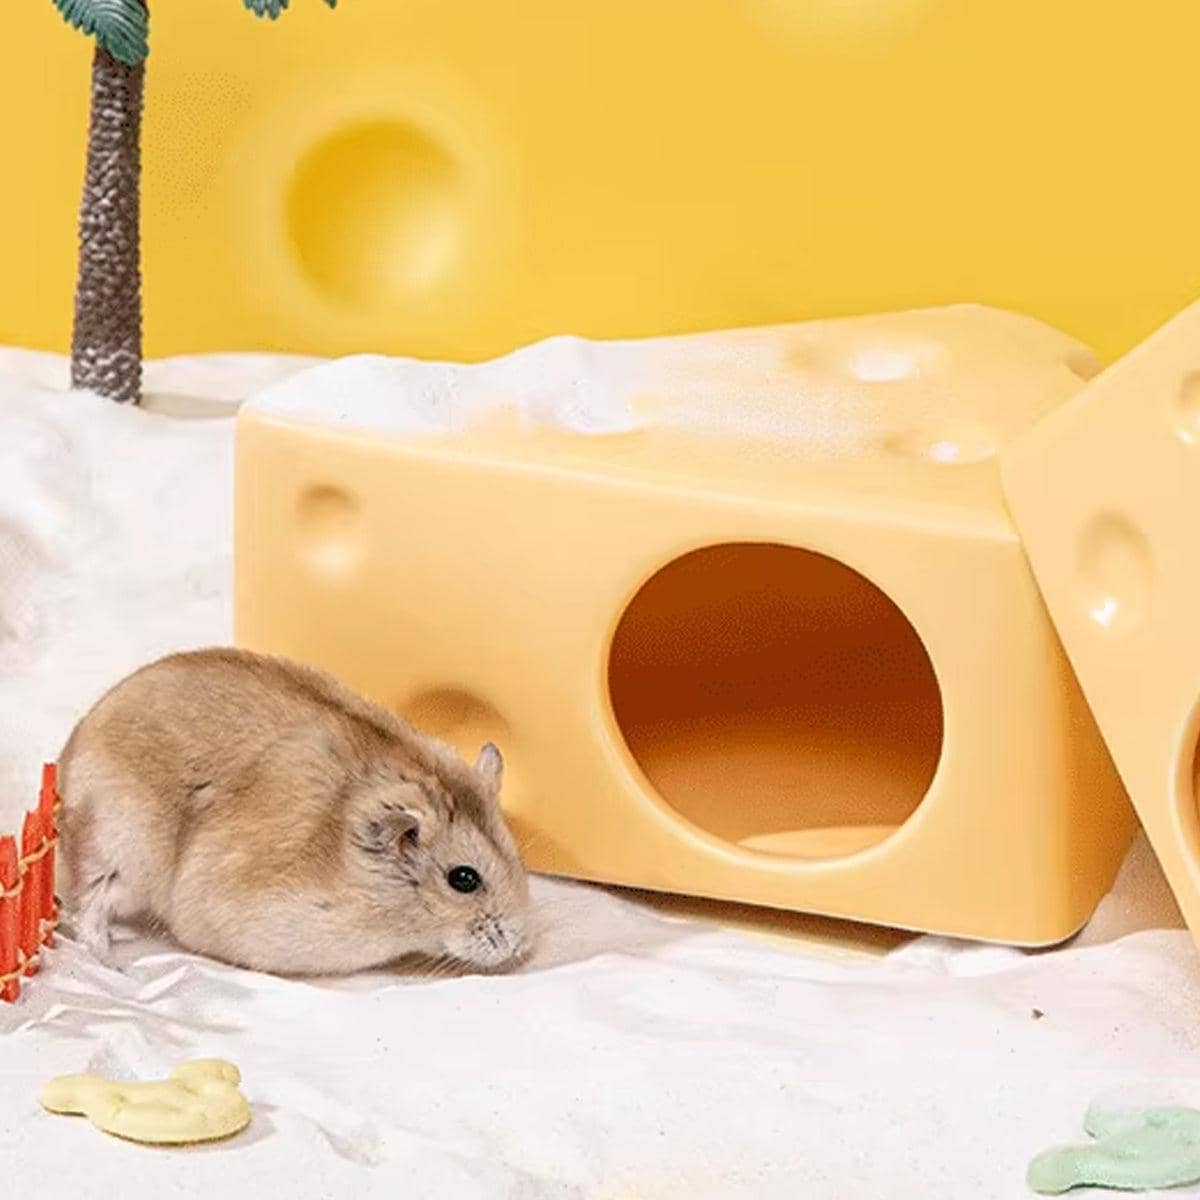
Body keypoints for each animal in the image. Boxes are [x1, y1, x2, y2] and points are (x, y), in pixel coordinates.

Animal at [57, 647, 535, 976]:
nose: (521, 945)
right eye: (464, 879)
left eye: (517, 859)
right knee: (90, 907)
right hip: (119, 855)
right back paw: (114, 968)